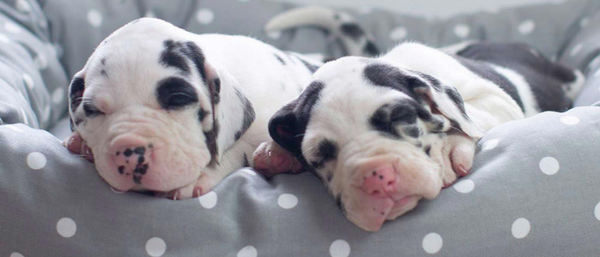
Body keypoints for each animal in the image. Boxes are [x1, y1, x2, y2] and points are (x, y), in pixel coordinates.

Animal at [253, 7, 580, 231]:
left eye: (401, 116)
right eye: (319, 156)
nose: (376, 178)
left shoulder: (496, 99)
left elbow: (469, 118)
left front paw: (449, 148)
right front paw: (276, 152)